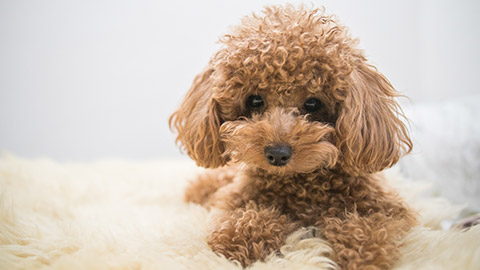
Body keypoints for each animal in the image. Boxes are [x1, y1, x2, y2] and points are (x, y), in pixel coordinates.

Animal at [171, 4, 418, 270]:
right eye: (255, 100)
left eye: (313, 103)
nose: (277, 154)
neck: (300, 184)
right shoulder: (234, 200)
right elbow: (245, 216)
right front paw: (238, 237)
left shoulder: (389, 208)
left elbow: (371, 225)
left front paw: (366, 253)